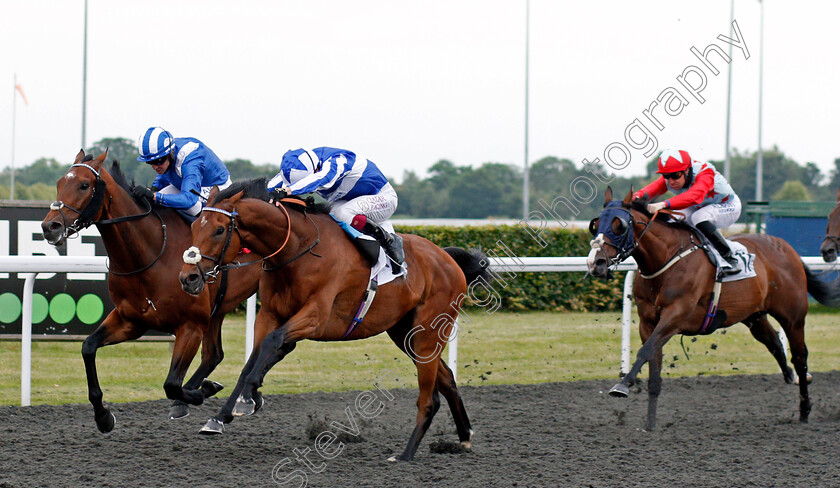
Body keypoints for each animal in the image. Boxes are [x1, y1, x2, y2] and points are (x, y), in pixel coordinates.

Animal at [39, 151, 260, 432]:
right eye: (59, 183)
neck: (152, 253)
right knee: (214, 355)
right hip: (216, 311)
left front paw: (200, 392)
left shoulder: (190, 326)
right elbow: (88, 347)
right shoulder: (131, 320)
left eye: (84, 185)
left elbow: (171, 384)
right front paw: (103, 416)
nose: (50, 227)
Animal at [179, 180, 492, 462]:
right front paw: (222, 415)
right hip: (405, 333)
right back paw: (464, 437)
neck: (298, 249)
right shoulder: (269, 314)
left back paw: (405, 454)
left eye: (219, 229)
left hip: (428, 331)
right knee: (447, 379)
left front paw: (247, 399)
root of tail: (448, 259)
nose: (188, 278)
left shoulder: (316, 317)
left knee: (430, 396)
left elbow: (272, 343)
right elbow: (251, 362)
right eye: (194, 227)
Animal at [584, 187, 840, 430]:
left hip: (793, 315)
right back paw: (790, 376)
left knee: (800, 356)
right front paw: (650, 423)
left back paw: (805, 407)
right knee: (774, 343)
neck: (666, 260)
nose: (595, 262)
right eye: (595, 224)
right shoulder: (648, 322)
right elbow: (653, 366)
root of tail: (788, 248)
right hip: (754, 316)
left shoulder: (675, 315)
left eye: (619, 225)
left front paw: (621, 385)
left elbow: (644, 352)